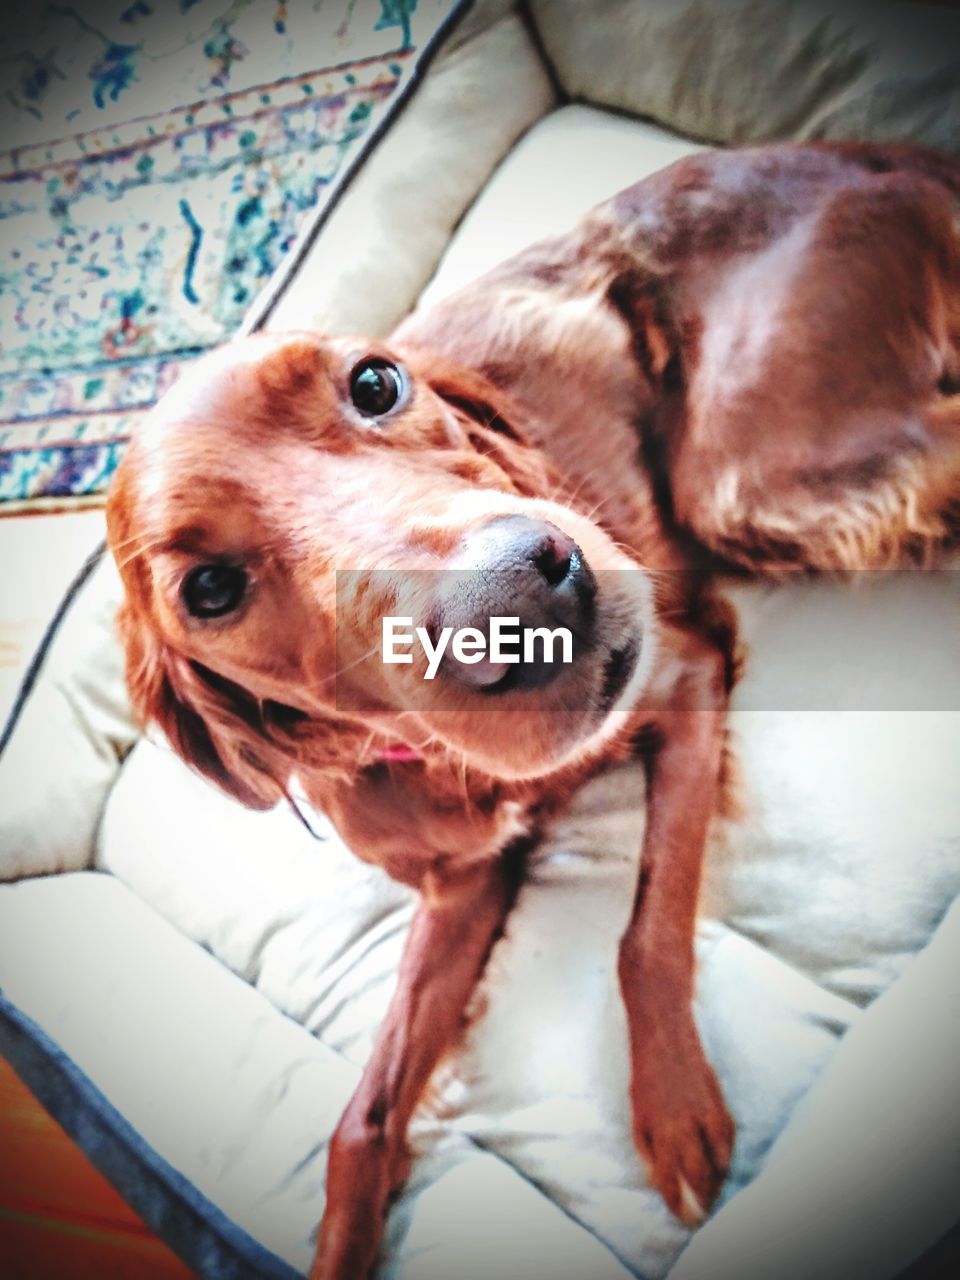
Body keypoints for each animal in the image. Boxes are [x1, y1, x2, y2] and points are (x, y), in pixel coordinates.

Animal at [106, 142, 960, 1280]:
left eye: (374, 382)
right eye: (207, 589)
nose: (524, 592)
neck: (442, 764)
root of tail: (855, 153)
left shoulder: (685, 679)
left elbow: (644, 931)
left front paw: (672, 1104)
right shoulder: (465, 884)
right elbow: (360, 1119)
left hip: (748, 472)